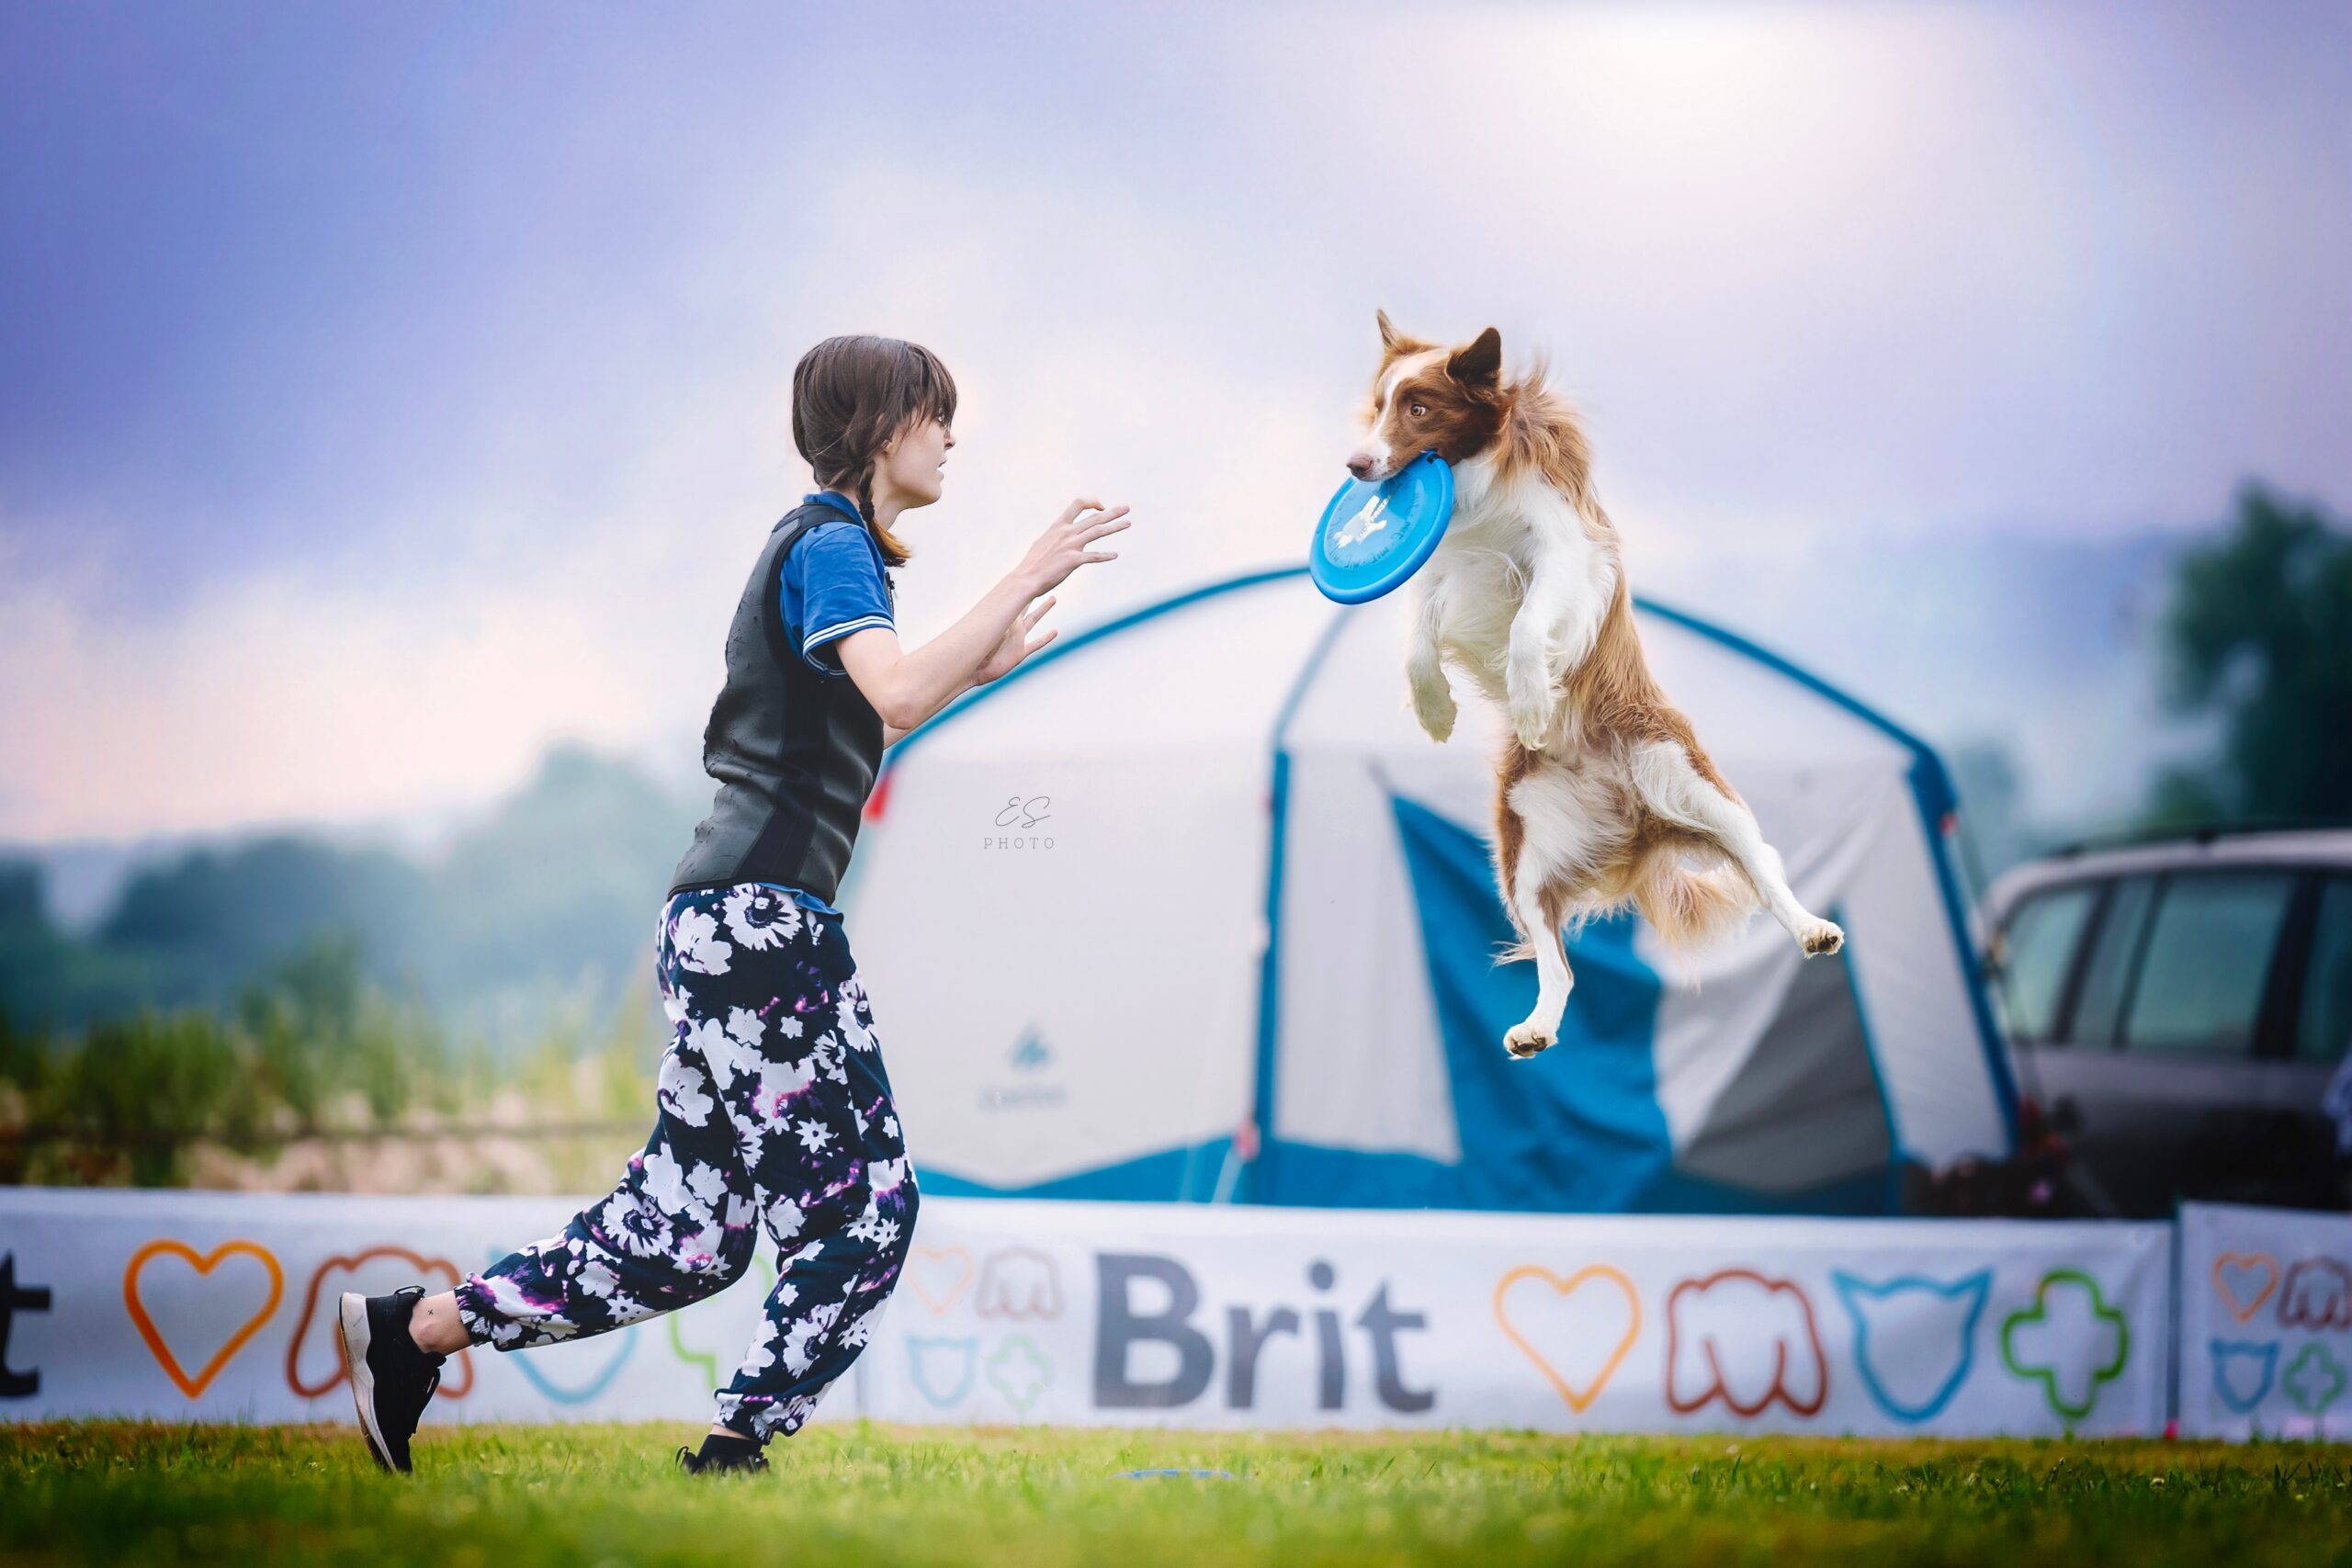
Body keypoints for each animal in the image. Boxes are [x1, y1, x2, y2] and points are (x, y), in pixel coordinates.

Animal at [1354, 312, 1844, 1062]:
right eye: (1379, 405)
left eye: (1419, 407)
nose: (1354, 466)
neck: (1475, 488)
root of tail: (1632, 822)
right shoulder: (1438, 574)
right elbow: (1417, 646)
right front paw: (1437, 713)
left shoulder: (1567, 555)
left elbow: (1527, 628)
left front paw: (1532, 702)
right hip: (1522, 855)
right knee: (1560, 967)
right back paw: (1535, 1028)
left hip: (1690, 780)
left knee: (1763, 871)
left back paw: (1812, 926)